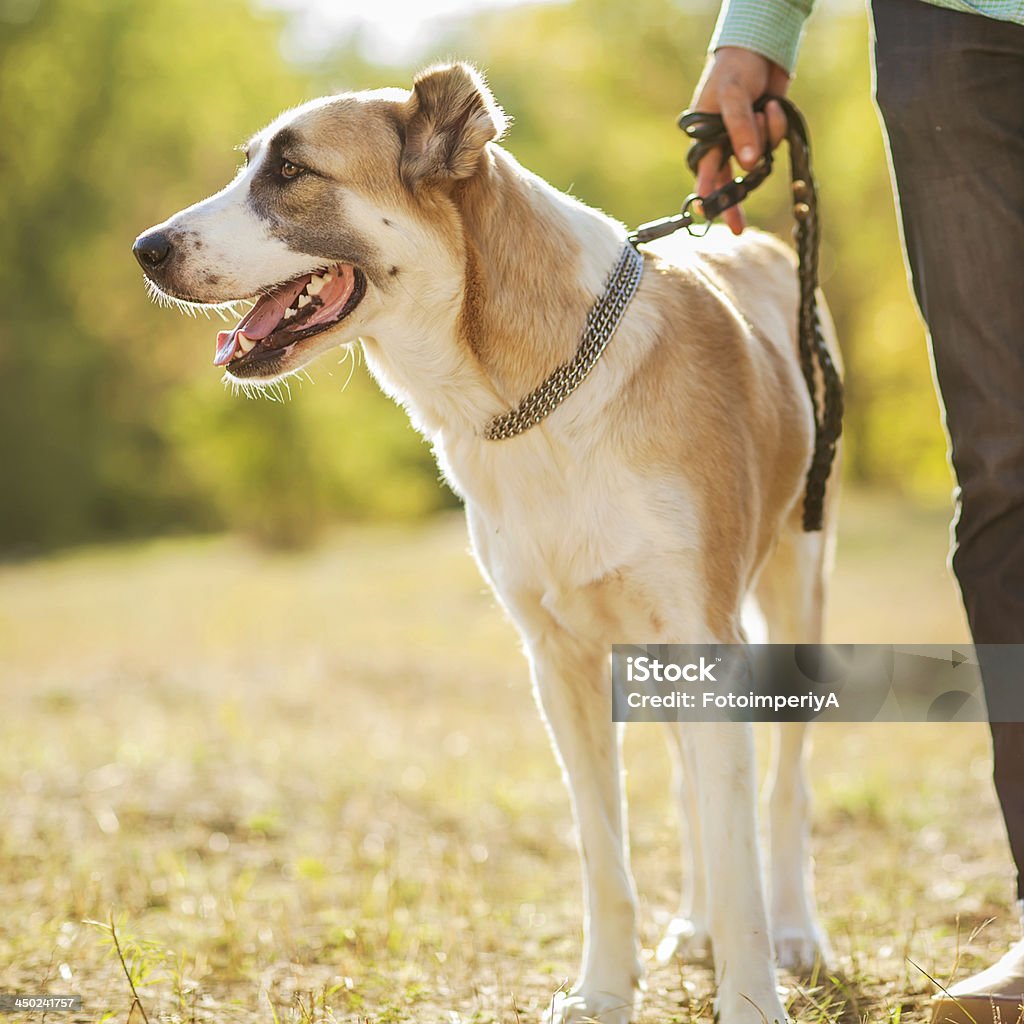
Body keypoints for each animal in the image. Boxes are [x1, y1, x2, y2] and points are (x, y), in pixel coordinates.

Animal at [134, 64, 839, 1024]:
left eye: (290, 171)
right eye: (250, 164)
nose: (145, 249)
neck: (537, 392)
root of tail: (765, 243)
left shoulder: (707, 637)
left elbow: (740, 854)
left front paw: (751, 998)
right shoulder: (560, 665)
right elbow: (605, 853)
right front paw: (603, 990)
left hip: (794, 593)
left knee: (785, 786)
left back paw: (797, 931)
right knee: (691, 790)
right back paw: (692, 925)